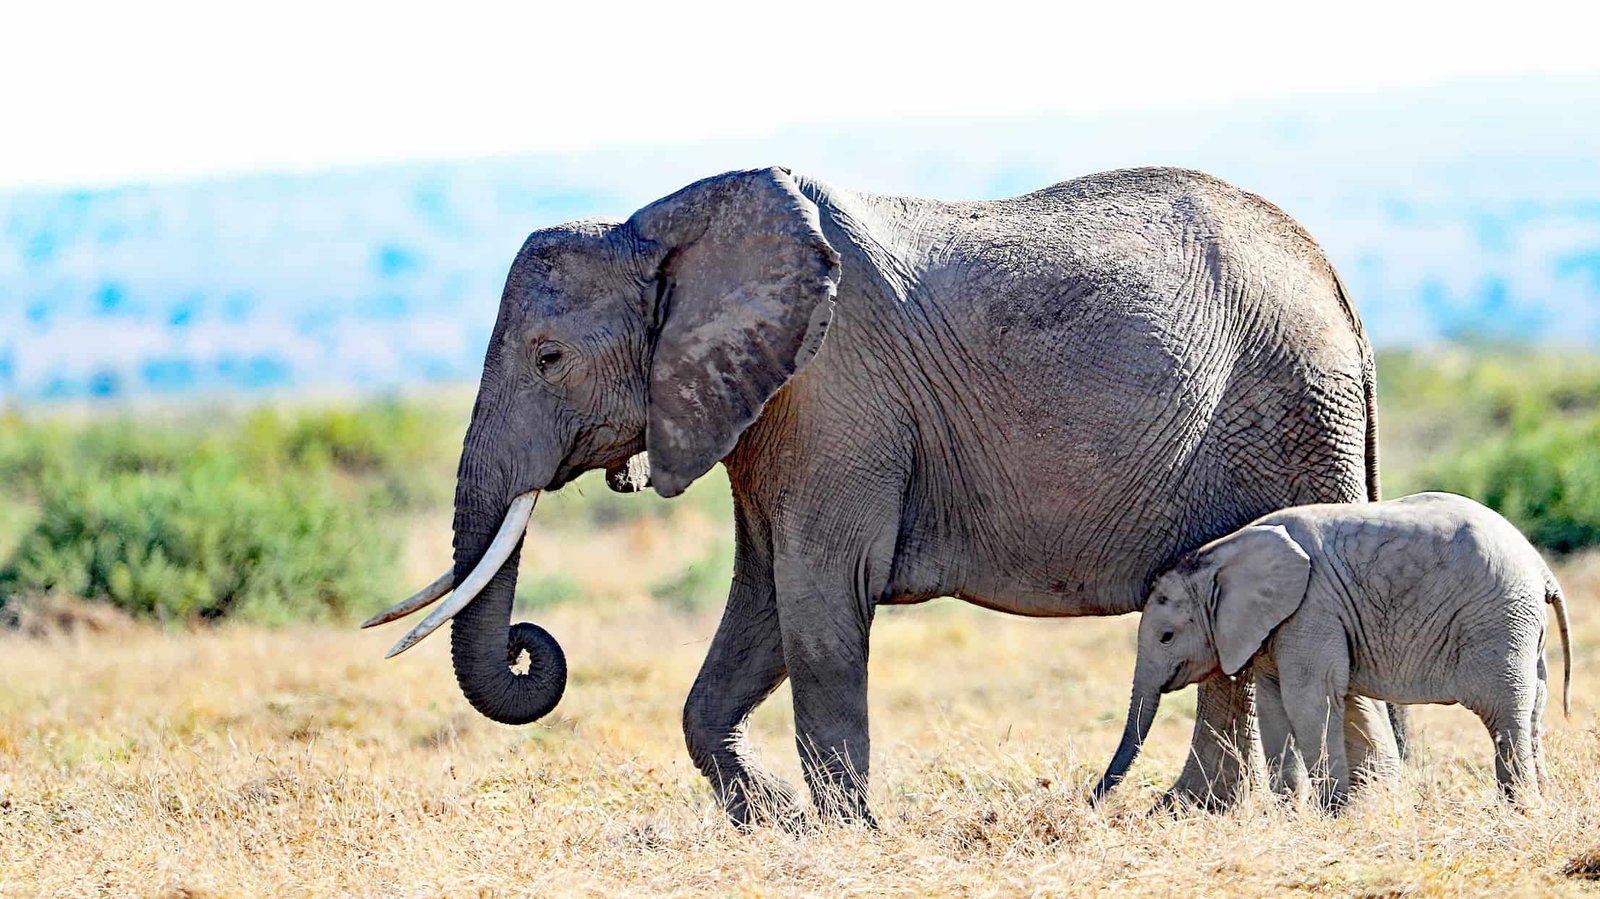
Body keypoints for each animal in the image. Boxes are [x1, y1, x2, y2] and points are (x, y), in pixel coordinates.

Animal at [363, 165, 1407, 825]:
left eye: (548, 358)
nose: (530, 644)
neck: (660, 233)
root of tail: (1339, 287)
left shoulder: (834, 398)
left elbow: (819, 608)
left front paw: (848, 833)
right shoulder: (770, 409)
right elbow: (761, 607)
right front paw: (780, 825)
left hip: (1293, 414)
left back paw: (1344, 813)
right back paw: (1187, 817)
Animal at [1094, 492, 1573, 811]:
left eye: (1166, 636)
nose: (1092, 801)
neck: (1220, 556)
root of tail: (1541, 568)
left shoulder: (1311, 609)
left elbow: (1310, 698)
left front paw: (1333, 813)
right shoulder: (1276, 624)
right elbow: (1273, 703)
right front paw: (1289, 813)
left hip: (1498, 621)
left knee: (1504, 711)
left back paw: (1519, 808)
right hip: (1523, 629)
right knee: (1534, 710)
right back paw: (1544, 799)